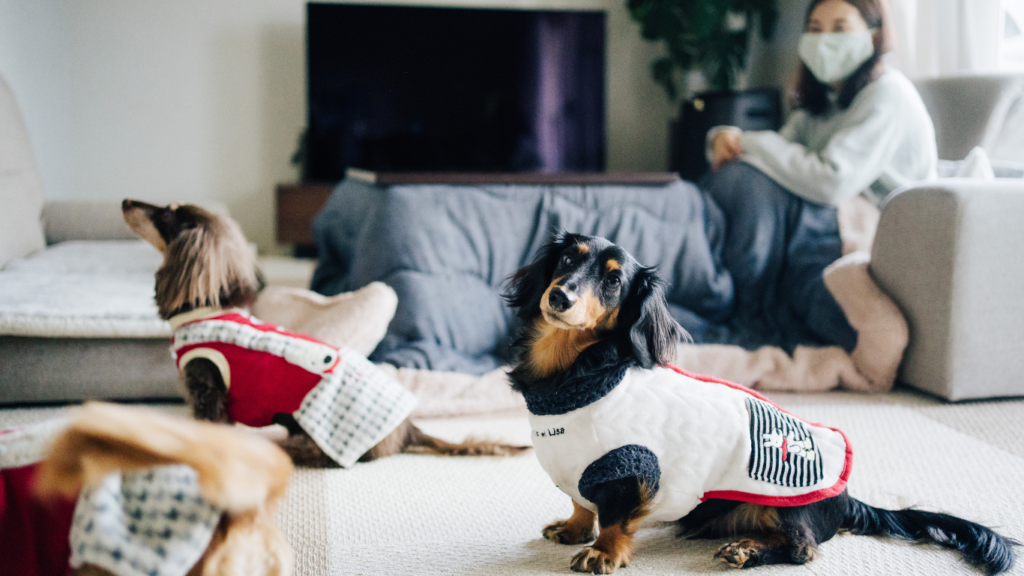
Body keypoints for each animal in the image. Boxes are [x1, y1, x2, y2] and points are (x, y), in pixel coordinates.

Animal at [121, 198, 528, 467]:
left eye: (167, 213)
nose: (126, 200)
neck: (208, 311)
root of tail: (408, 428)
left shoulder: (207, 388)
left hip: (323, 432)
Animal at [503, 230, 1015, 569]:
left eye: (613, 282)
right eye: (566, 260)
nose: (560, 297)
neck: (577, 373)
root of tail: (846, 497)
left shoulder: (625, 466)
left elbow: (611, 515)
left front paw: (601, 552)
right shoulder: (577, 464)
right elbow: (580, 500)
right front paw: (573, 529)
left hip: (785, 500)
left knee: (803, 547)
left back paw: (747, 551)